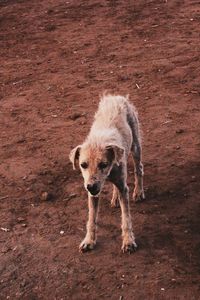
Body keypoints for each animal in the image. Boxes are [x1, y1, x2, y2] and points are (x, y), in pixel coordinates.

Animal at [69, 94, 145, 253]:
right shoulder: (93, 195)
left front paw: (128, 241)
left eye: (103, 164)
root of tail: (116, 97)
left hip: (136, 147)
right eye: (83, 165)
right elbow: (91, 219)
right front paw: (89, 240)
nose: (90, 187)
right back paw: (115, 198)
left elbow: (126, 218)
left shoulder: (123, 188)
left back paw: (138, 191)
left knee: (139, 168)